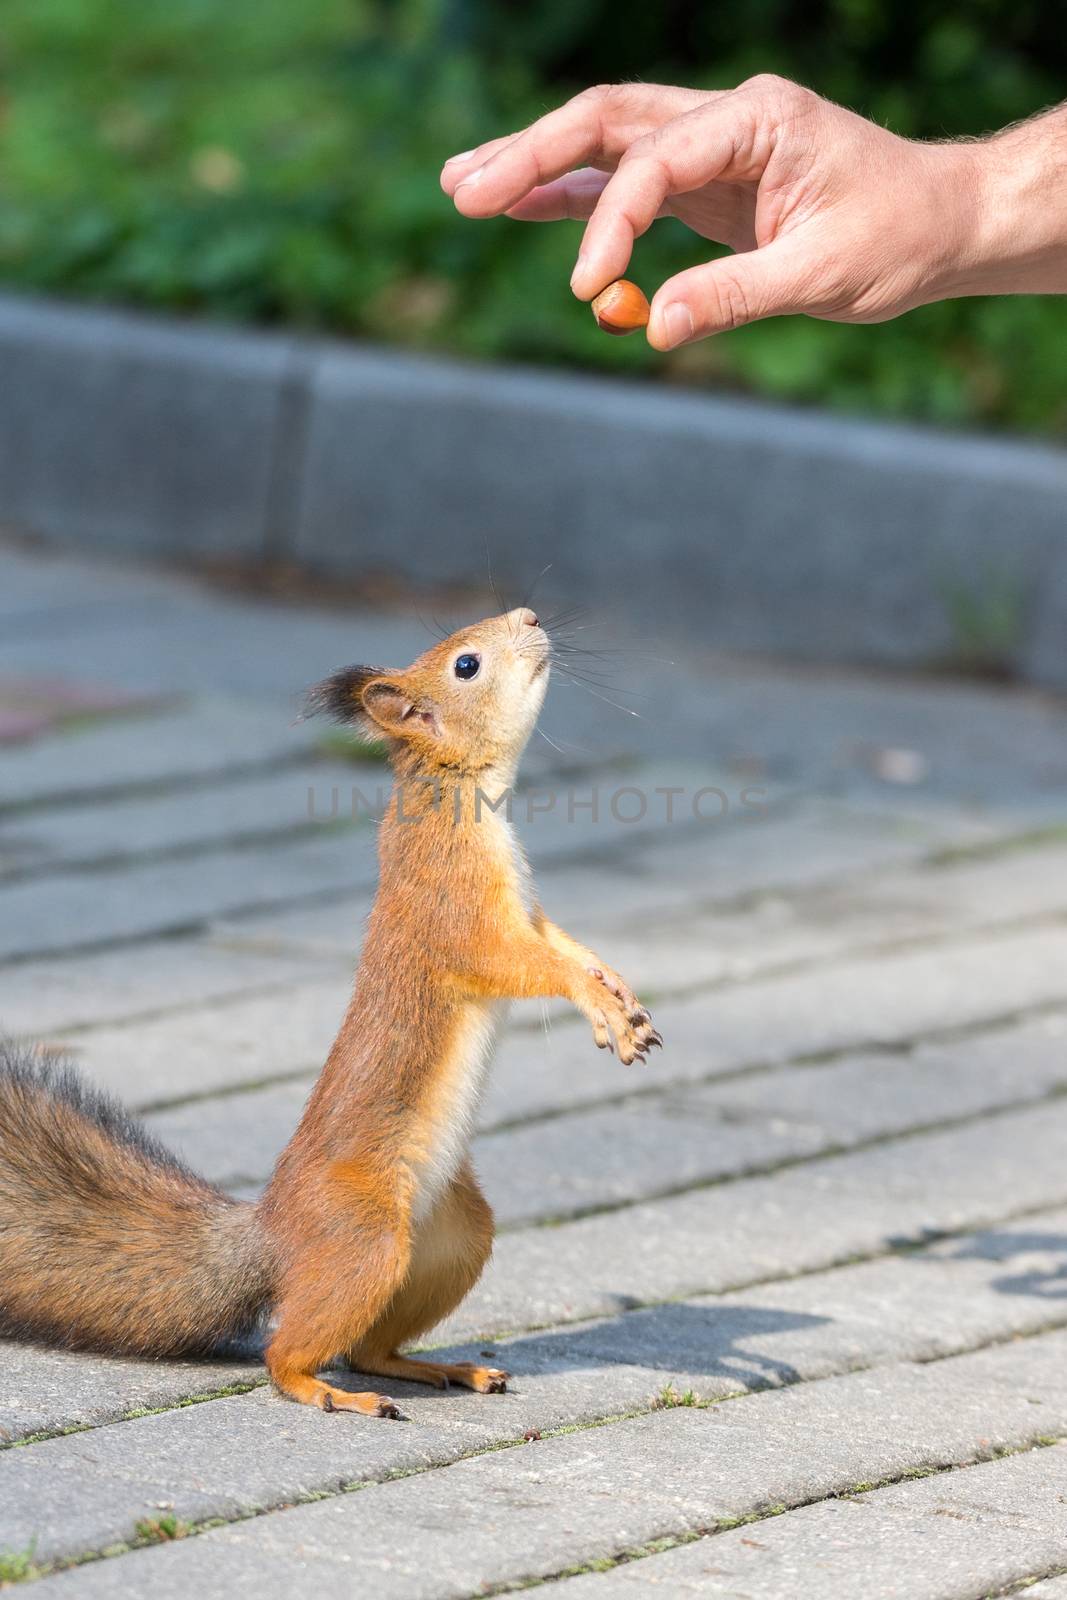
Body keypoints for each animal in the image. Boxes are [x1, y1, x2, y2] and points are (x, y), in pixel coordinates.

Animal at [0, 608, 659, 1414]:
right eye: (466, 665)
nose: (530, 617)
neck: (459, 791)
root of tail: (273, 1237)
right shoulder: (454, 903)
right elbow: (518, 962)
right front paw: (596, 1003)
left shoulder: (529, 912)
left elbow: (564, 945)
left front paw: (617, 991)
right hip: (366, 1237)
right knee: (288, 1354)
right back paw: (331, 1393)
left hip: (454, 1238)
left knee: (369, 1348)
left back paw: (442, 1368)